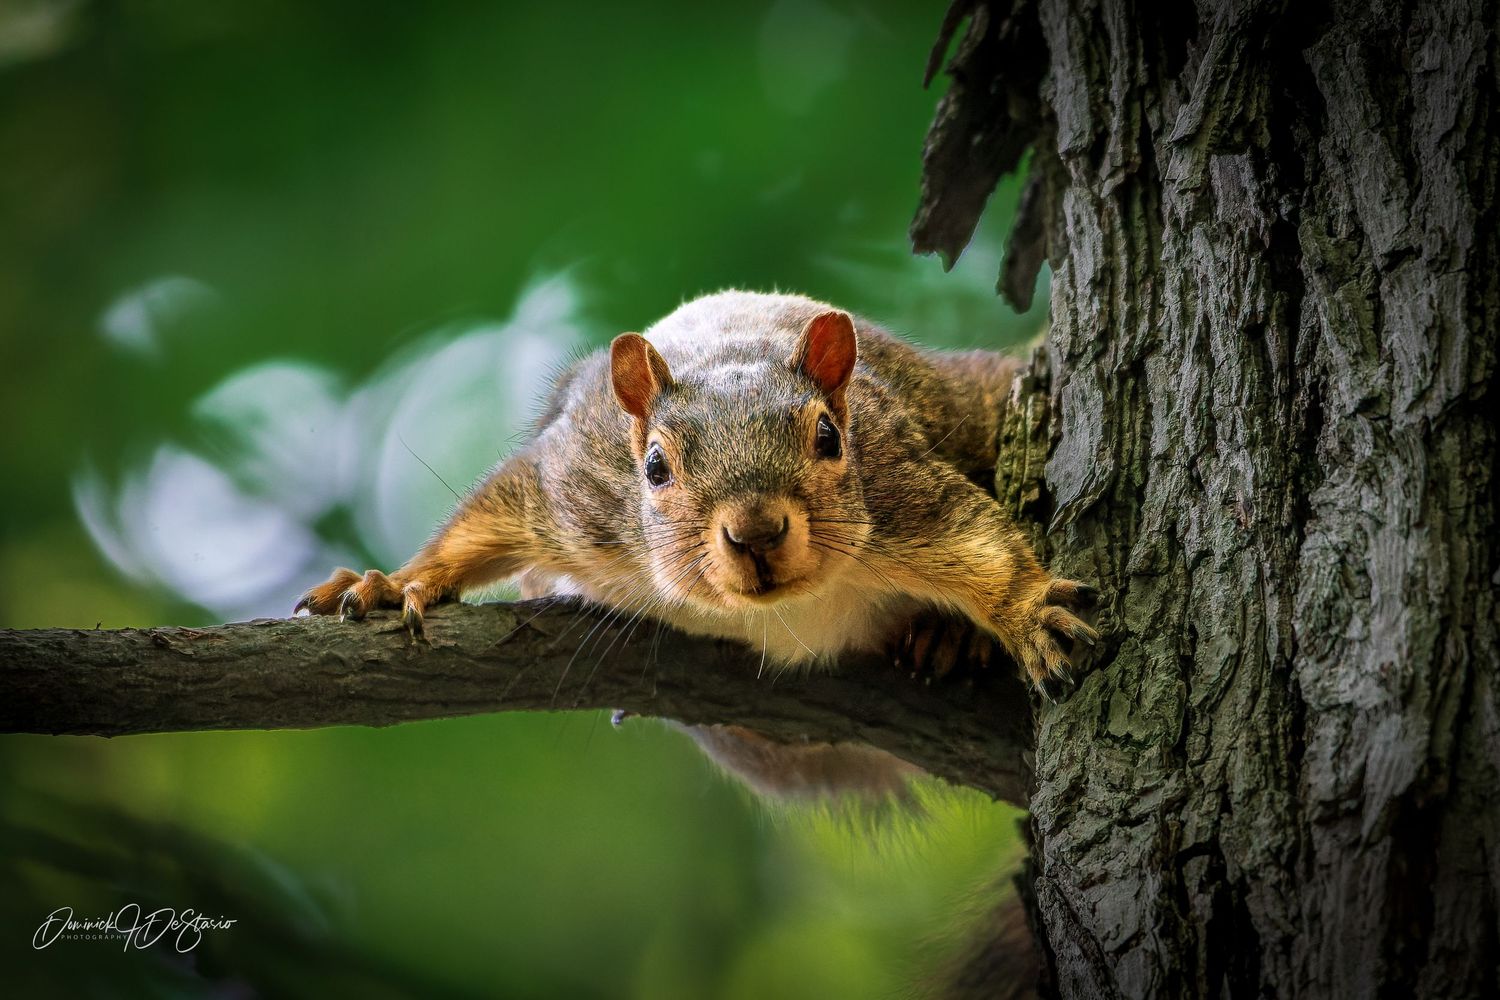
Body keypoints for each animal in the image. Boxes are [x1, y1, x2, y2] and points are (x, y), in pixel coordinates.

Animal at [296, 290, 1098, 798]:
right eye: (654, 466)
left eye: (830, 437)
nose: (757, 533)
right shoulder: (578, 486)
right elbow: (488, 517)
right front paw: (394, 583)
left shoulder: (900, 488)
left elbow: (980, 543)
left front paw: (1028, 612)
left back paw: (948, 638)